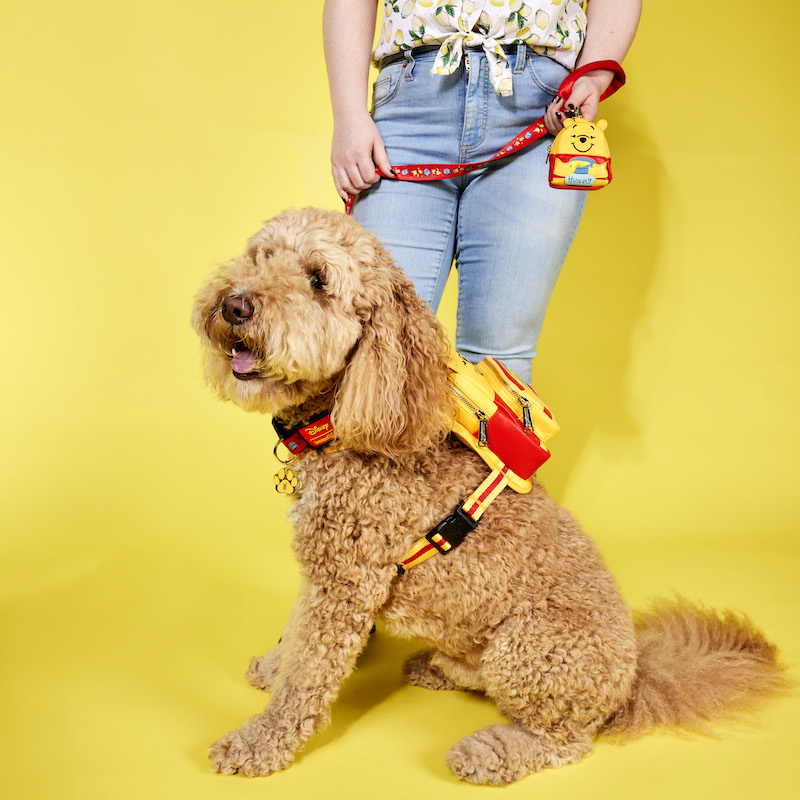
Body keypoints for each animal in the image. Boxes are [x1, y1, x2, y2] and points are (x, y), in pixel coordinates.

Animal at [195, 208, 788, 788]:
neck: (348, 422)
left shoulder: (344, 582)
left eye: (318, 280)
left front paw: (259, 742)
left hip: (530, 649)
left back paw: (490, 751)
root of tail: (633, 678)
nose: (234, 304)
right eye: (261, 256)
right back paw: (440, 669)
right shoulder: (322, 572)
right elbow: (298, 639)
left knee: (564, 742)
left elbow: (307, 676)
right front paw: (275, 666)